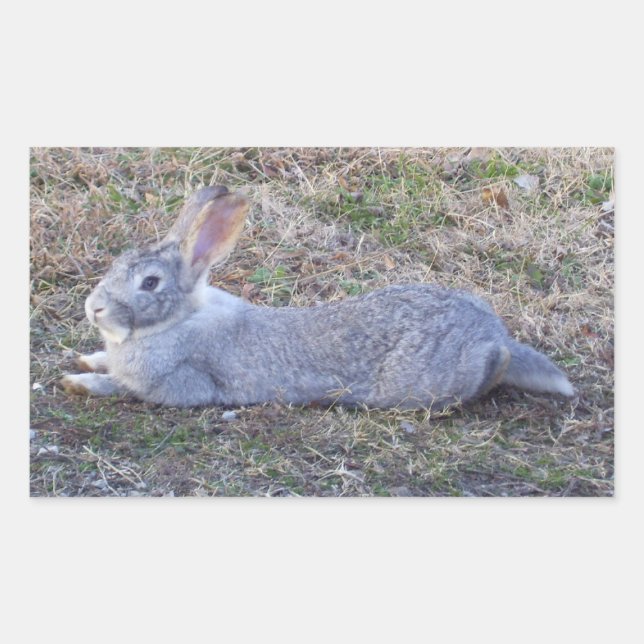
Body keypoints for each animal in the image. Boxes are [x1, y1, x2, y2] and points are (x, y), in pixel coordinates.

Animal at [61, 185, 574, 409]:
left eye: (149, 283)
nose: (93, 308)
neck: (177, 321)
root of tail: (493, 333)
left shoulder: (178, 385)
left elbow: (125, 389)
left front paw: (78, 382)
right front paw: (87, 360)